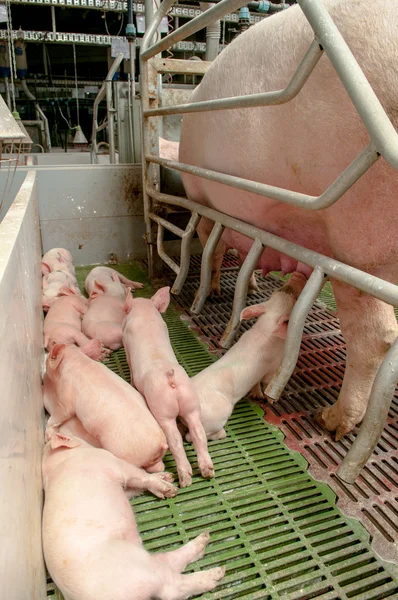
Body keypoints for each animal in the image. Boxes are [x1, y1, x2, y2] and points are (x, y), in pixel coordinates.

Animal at [43, 344, 168, 472]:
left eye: (48, 359)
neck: (75, 359)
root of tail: (160, 444)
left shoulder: (66, 393)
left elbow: (62, 412)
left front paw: (48, 436)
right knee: (159, 467)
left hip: (125, 453)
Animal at [43, 434, 224, 600]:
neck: (60, 461)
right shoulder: (112, 462)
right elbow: (141, 476)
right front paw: (170, 490)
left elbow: (137, 486)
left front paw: (167, 478)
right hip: (138, 567)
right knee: (172, 587)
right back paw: (217, 571)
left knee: (168, 561)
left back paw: (204, 540)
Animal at [123, 286, 215, 488]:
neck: (146, 313)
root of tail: (170, 379)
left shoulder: (125, 340)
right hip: (191, 404)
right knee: (199, 434)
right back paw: (208, 472)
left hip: (163, 411)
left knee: (175, 441)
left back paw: (185, 481)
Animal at [179, 0, 398, 440]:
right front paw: (254, 283)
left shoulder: (204, 200)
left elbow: (213, 249)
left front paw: (212, 291)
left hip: (359, 245)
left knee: (374, 339)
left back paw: (331, 421)